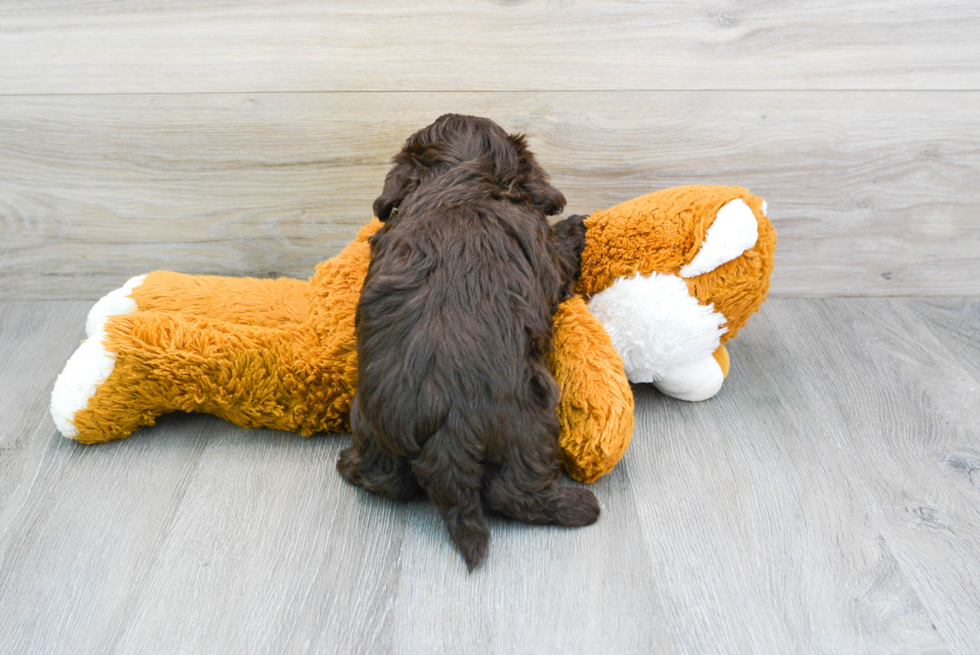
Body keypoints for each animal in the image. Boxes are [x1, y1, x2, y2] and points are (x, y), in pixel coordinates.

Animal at [336, 113, 596, 568]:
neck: (458, 183)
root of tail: (448, 436)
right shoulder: (548, 257)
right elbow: (561, 254)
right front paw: (575, 224)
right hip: (531, 423)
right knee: (517, 493)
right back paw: (580, 507)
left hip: (370, 423)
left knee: (383, 479)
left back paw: (347, 462)